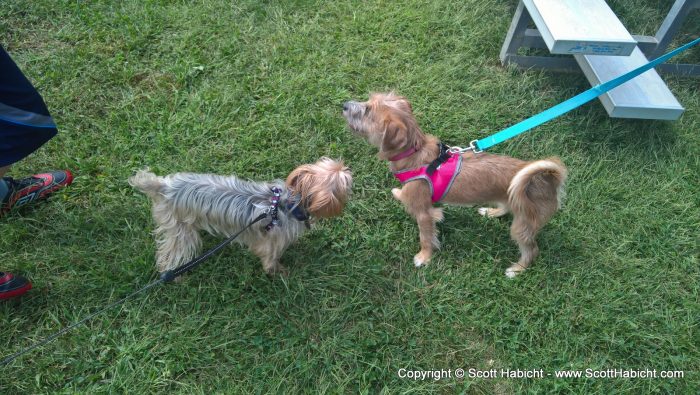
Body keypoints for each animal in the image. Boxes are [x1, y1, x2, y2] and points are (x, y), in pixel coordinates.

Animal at [129, 159, 352, 278]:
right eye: (345, 183)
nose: (347, 167)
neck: (288, 203)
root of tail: (163, 186)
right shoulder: (270, 243)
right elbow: (269, 259)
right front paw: (279, 272)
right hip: (179, 227)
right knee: (172, 253)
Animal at [342, 93, 568, 278]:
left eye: (367, 110)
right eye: (367, 101)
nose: (343, 105)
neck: (415, 153)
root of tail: (548, 179)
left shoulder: (422, 213)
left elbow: (426, 237)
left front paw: (424, 257)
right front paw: (403, 196)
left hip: (523, 225)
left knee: (532, 250)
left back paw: (517, 269)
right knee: (506, 207)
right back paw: (491, 212)